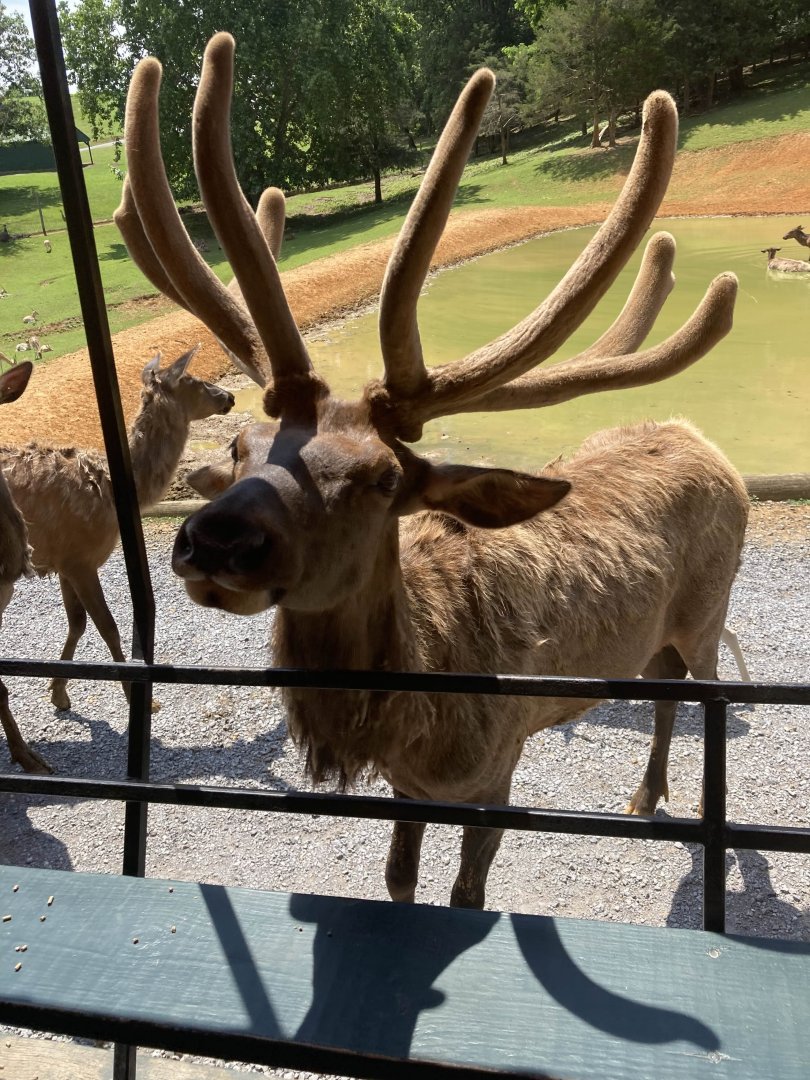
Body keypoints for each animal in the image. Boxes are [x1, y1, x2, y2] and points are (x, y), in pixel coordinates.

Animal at [0, 349, 234, 714]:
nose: (229, 397)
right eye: (192, 379)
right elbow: (107, 626)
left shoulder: (65, 559)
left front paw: (59, 693)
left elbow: (77, 623)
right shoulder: (80, 558)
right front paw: (142, 700)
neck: (111, 490)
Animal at [116, 34, 747, 909]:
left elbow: (465, 892)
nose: (216, 539)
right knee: (658, 683)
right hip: (659, 634)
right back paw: (646, 792)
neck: (415, 705)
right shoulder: (407, 784)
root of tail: (705, 442)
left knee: (694, 691)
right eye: (244, 446)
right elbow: (397, 876)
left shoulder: (498, 763)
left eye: (385, 479)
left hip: (709, 611)